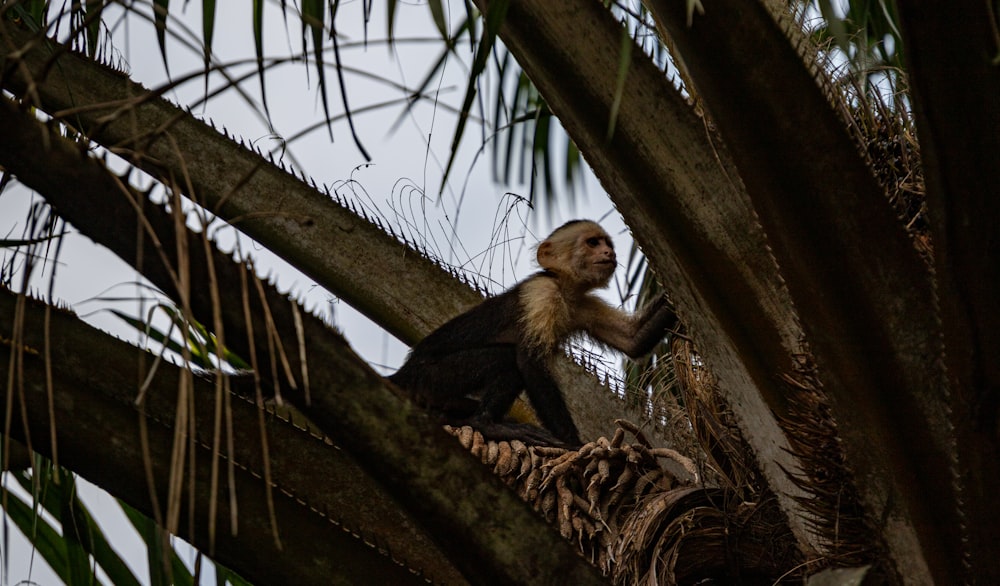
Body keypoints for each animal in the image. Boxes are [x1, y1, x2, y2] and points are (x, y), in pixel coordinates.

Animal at [390, 221, 680, 444]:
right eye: (593, 243)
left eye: (607, 243)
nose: (609, 252)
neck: (563, 288)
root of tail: (402, 374)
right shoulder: (542, 293)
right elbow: (530, 361)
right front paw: (573, 444)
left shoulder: (582, 304)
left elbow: (633, 341)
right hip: (430, 378)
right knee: (506, 359)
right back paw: (486, 424)